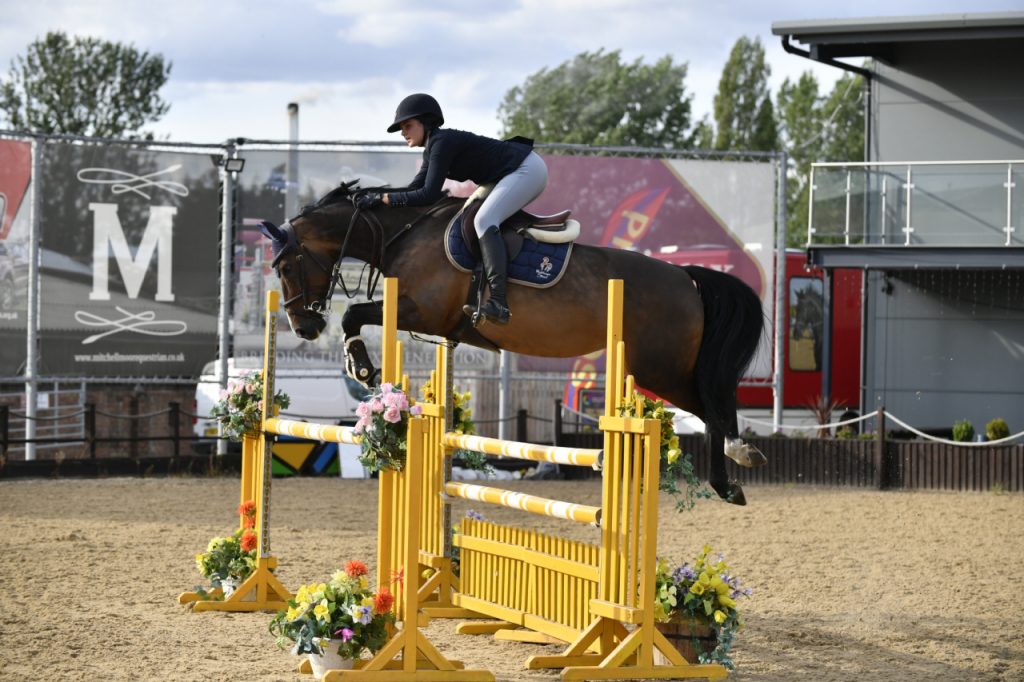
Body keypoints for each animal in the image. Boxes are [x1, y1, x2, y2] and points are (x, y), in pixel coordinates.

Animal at [259, 182, 767, 505]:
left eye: (283, 266)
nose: (303, 327)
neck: (403, 232)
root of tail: (685, 277)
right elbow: (357, 316)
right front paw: (360, 367)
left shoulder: (419, 310)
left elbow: (354, 314)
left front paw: (362, 367)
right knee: (712, 406)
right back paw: (740, 457)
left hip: (659, 368)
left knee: (710, 407)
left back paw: (730, 477)